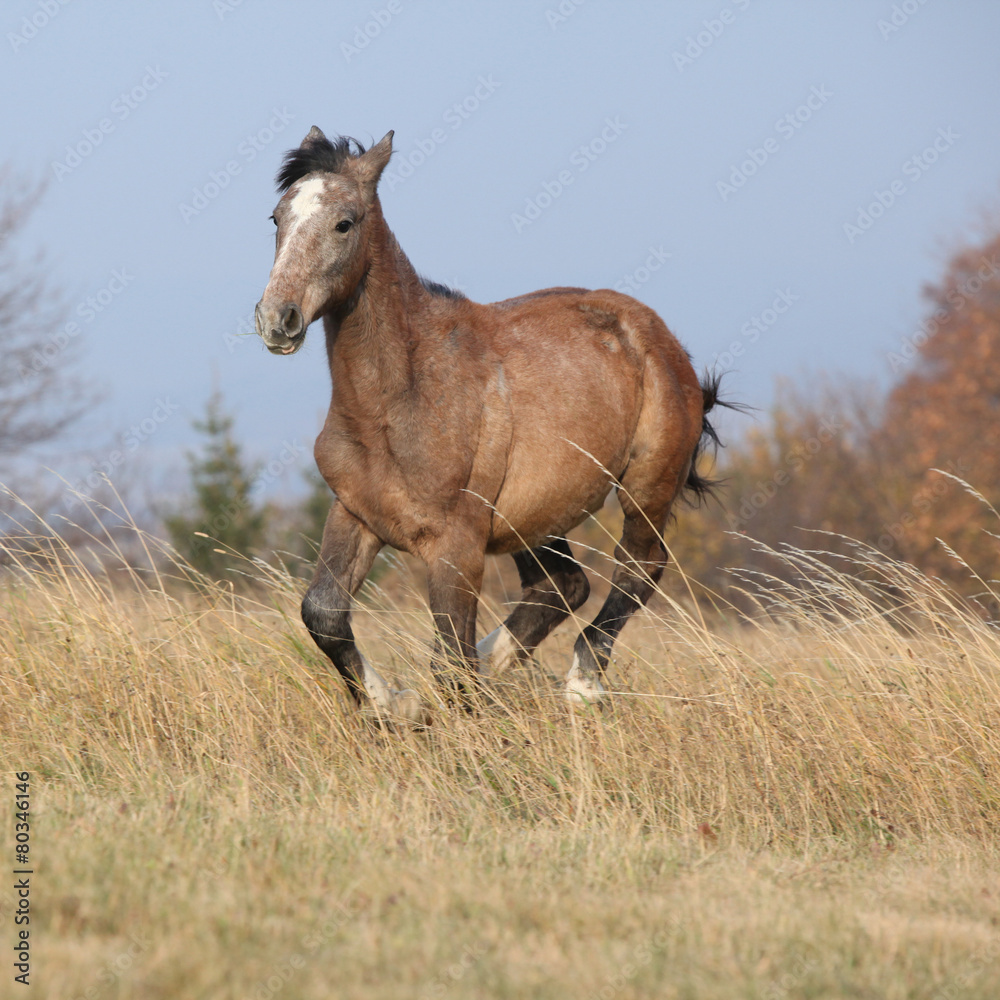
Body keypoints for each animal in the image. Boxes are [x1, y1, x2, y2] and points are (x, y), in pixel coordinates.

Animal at [254, 127, 724, 723]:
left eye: (345, 222)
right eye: (276, 218)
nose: (277, 319)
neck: (397, 404)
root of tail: (661, 339)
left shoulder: (456, 545)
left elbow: (450, 657)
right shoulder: (354, 514)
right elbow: (324, 614)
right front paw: (395, 706)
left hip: (646, 488)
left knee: (638, 568)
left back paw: (582, 684)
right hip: (539, 516)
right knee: (560, 588)